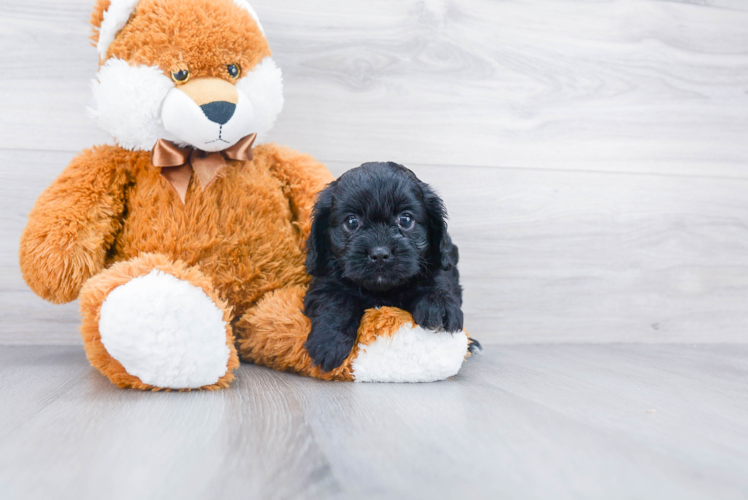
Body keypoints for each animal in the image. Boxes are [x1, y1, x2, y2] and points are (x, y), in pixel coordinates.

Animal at [300, 161, 470, 372]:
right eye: (352, 221)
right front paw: (328, 342)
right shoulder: (326, 279)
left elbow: (438, 278)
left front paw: (439, 305)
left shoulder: (440, 262)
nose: (379, 253)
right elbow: (336, 299)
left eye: (405, 220)